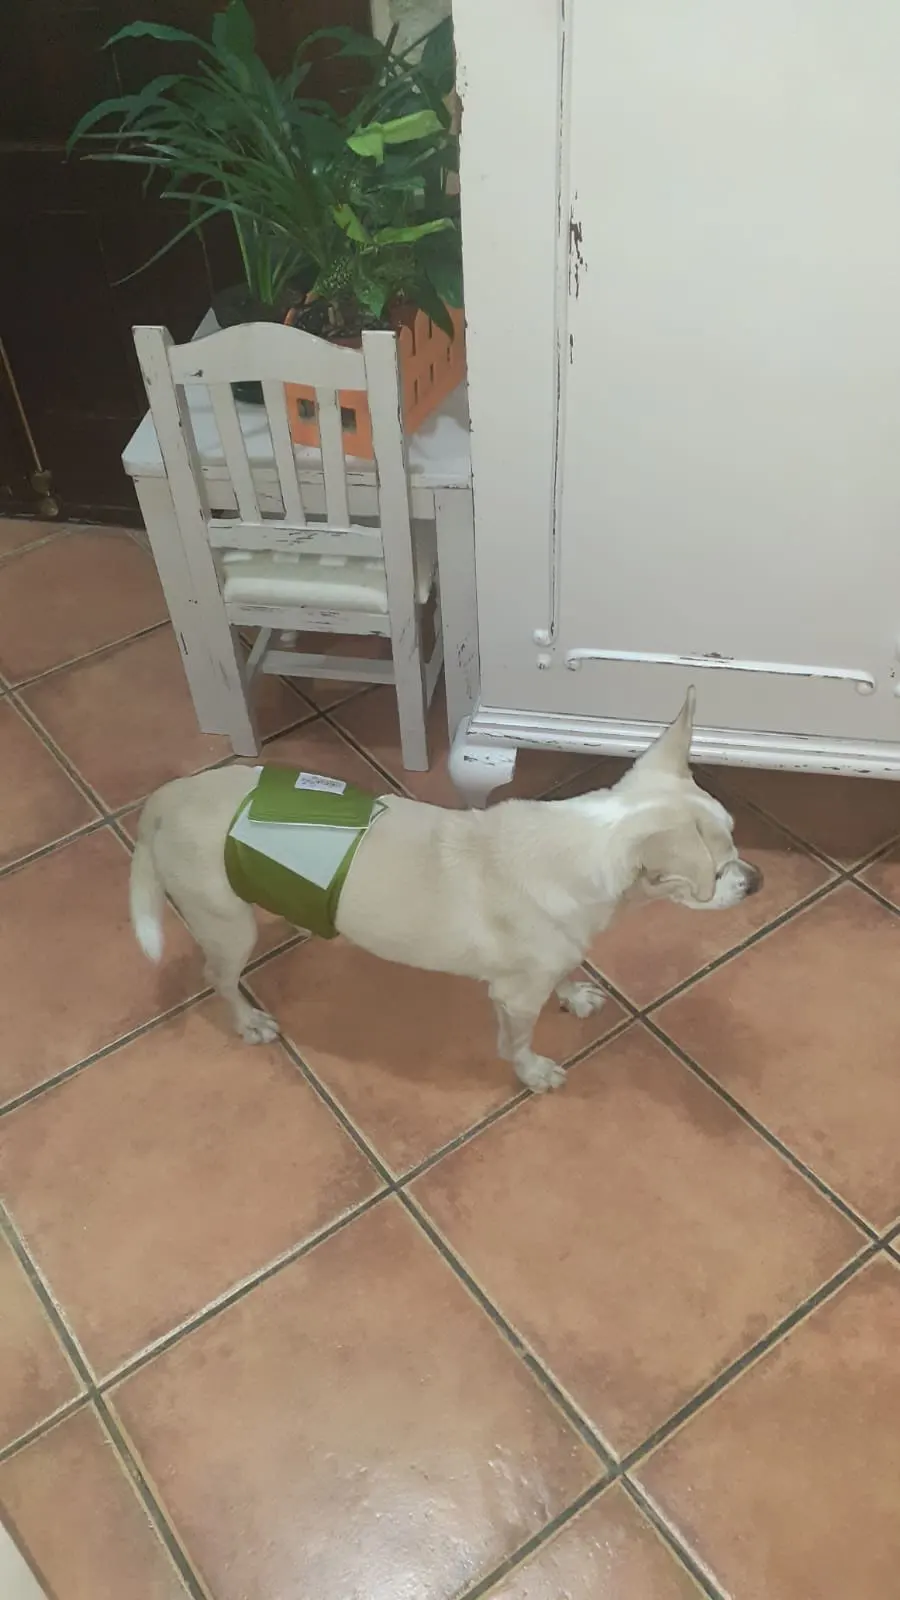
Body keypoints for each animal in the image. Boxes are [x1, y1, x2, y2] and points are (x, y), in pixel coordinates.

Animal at [129, 688, 761, 1092]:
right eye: (714, 874)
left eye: (737, 837)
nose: (757, 880)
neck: (584, 848)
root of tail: (166, 797)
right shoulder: (514, 999)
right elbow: (517, 1042)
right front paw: (532, 1072)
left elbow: (564, 972)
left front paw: (574, 994)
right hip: (227, 926)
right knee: (218, 977)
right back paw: (248, 1021)